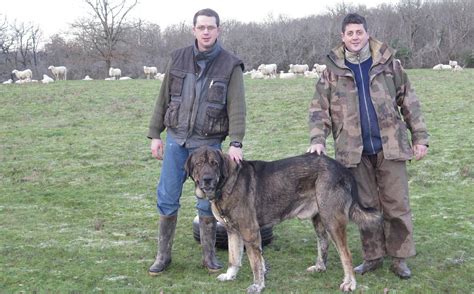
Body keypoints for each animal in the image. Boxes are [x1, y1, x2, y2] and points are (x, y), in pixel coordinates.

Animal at [185, 146, 382, 292]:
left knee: (345, 254)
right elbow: (234, 258)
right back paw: (320, 267)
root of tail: (342, 169)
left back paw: (350, 283)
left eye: (214, 163)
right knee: (323, 242)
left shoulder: (250, 231)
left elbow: (255, 263)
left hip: (332, 221)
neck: (226, 183)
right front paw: (230, 276)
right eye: (199, 163)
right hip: (319, 219)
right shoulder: (232, 231)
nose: (207, 179)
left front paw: (258, 285)